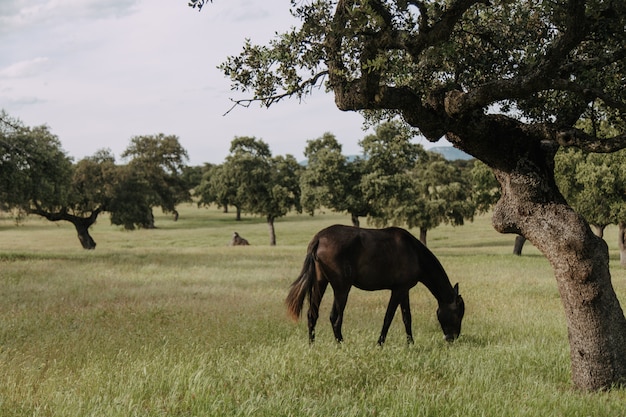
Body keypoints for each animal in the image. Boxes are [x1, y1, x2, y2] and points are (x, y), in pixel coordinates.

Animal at [284, 226, 464, 342]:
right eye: (458, 313)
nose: (453, 338)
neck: (414, 253)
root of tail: (319, 239)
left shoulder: (404, 290)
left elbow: (407, 317)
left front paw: (410, 343)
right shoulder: (398, 290)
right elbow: (388, 317)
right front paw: (380, 343)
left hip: (320, 282)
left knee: (312, 314)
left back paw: (312, 345)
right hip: (342, 288)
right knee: (335, 318)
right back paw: (341, 344)